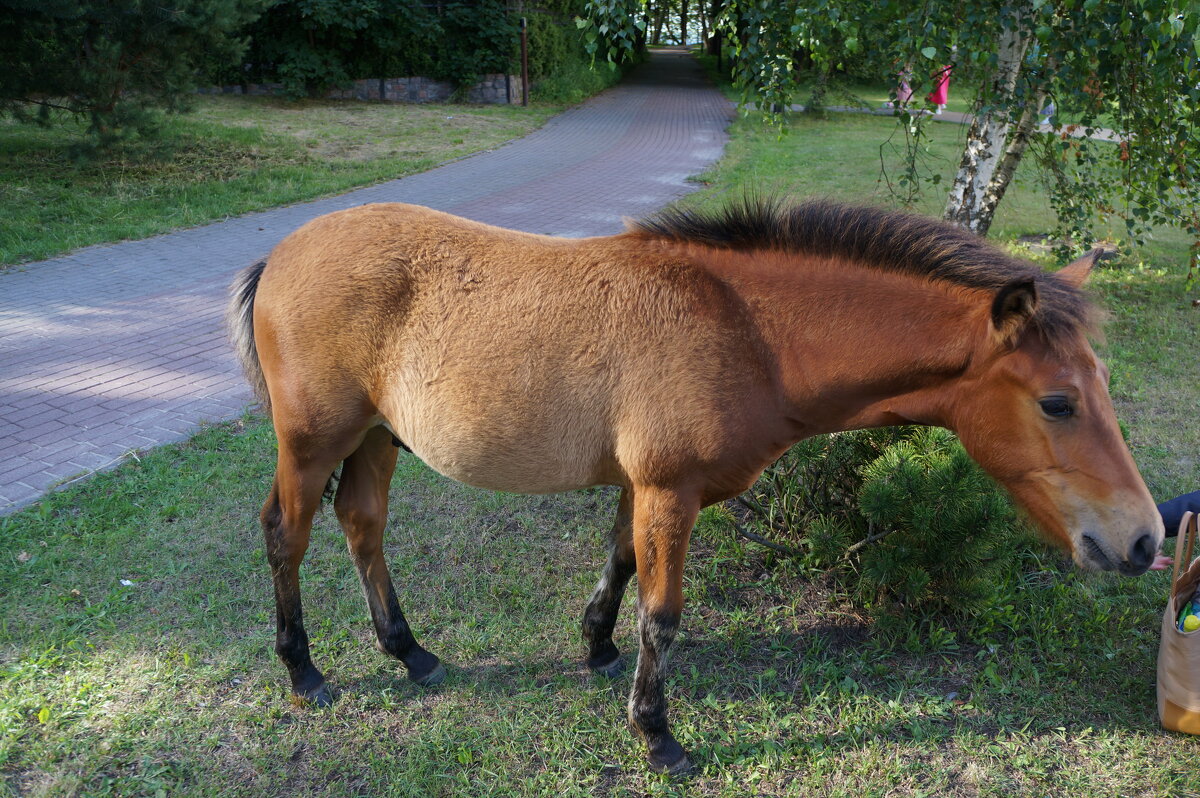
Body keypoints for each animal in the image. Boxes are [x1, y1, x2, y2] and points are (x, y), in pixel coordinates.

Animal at [225, 198, 1161, 772]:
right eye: (1058, 401)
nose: (1144, 540)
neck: (747, 330)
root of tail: (282, 252)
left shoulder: (643, 488)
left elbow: (619, 570)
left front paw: (597, 651)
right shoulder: (669, 490)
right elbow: (663, 613)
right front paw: (657, 734)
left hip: (375, 440)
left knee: (362, 525)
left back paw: (410, 651)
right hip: (312, 442)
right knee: (286, 535)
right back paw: (304, 670)